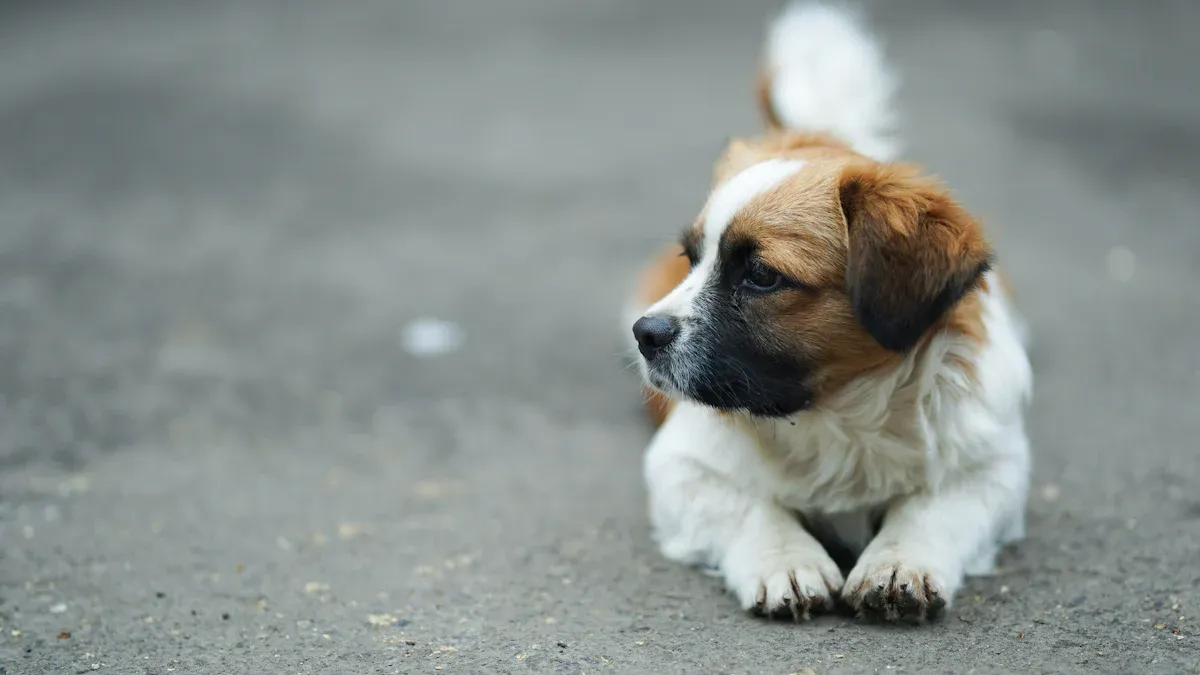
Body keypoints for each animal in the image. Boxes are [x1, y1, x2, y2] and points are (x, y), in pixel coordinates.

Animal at [628, 1, 1032, 619]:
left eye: (762, 276)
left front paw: (898, 561)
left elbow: (934, 508)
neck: (837, 415)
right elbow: (749, 507)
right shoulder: (680, 465)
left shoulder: (995, 467)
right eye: (691, 258)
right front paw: (786, 560)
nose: (645, 334)